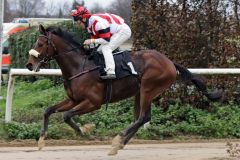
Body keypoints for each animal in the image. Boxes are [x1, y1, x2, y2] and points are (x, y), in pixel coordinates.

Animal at [25, 24, 222, 155]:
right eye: (35, 42)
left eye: (40, 44)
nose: (29, 65)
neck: (79, 66)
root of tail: (170, 62)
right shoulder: (73, 99)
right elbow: (48, 110)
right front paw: (41, 141)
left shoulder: (93, 102)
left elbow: (66, 116)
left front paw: (84, 130)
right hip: (140, 92)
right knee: (141, 118)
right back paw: (119, 144)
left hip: (148, 89)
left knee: (142, 117)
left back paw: (117, 141)